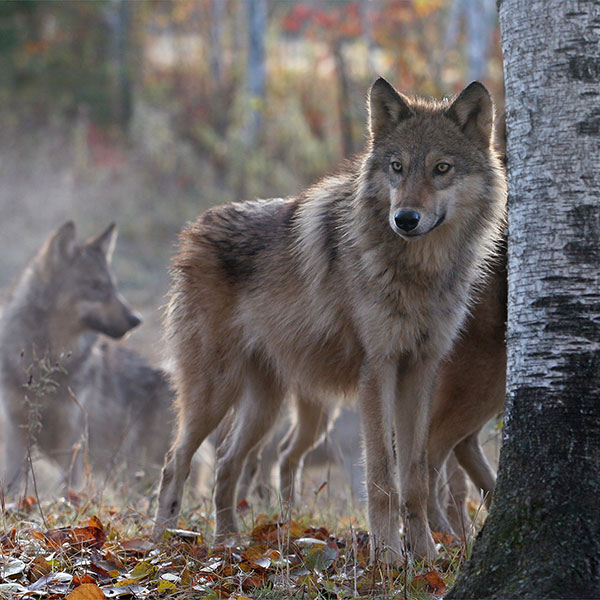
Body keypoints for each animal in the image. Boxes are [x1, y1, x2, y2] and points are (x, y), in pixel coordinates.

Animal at [0, 221, 176, 492]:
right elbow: (13, 485)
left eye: (113, 287)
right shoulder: (15, 433)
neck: (48, 359)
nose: (136, 319)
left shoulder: (73, 441)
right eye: (96, 286)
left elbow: (69, 489)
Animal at [152, 77, 504, 560]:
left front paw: (428, 558)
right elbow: (382, 478)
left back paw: (229, 543)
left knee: (226, 465)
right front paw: (389, 559)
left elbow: (415, 477)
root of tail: (195, 227)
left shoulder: (420, 369)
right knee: (175, 462)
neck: (418, 272)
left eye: (442, 168)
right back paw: (158, 545)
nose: (405, 219)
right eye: (397, 167)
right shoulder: (378, 371)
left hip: (265, 406)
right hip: (215, 393)